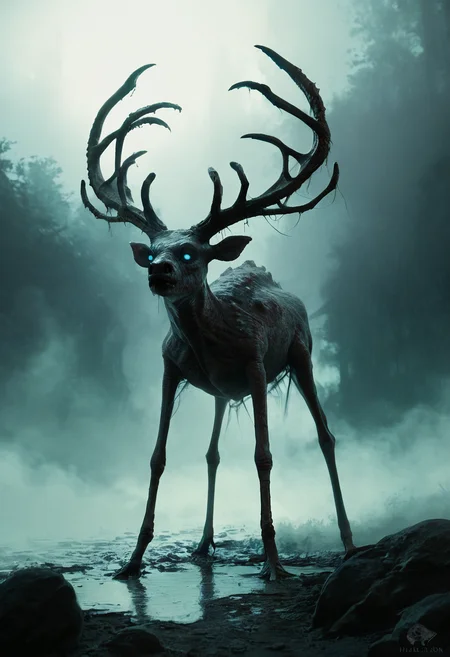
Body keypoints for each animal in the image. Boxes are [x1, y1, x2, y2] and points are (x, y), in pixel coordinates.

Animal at [81, 45, 357, 581]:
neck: (211, 339)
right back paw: (204, 544)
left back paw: (349, 542)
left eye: (191, 252)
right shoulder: (171, 368)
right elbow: (158, 457)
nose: (159, 272)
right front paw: (132, 560)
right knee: (211, 453)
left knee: (326, 435)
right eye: (153, 250)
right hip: (220, 397)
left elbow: (264, 455)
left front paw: (273, 561)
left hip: (302, 354)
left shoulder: (255, 364)